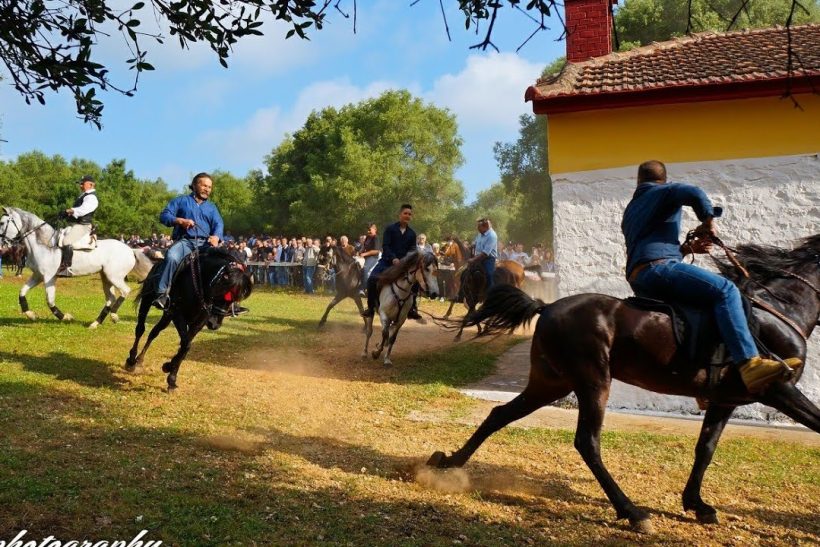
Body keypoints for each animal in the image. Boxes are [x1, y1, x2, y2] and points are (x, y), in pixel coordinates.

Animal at [0, 207, 155, 328]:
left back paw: (114, 316)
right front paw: (30, 315)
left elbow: (50, 301)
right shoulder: (38, 275)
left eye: (2, 222)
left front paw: (66, 317)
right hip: (105, 277)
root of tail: (130, 249)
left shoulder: (49, 277)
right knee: (111, 297)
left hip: (114, 276)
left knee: (124, 291)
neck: (45, 244)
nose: (2, 244)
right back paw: (95, 323)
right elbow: (22, 292)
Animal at [125, 246, 251, 392]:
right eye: (221, 288)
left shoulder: (198, 323)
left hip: (167, 316)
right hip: (147, 301)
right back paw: (131, 361)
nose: (214, 324)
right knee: (140, 329)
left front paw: (171, 374)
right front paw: (169, 370)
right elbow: (185, 345)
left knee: (154, 332)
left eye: (235, 298)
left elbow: (185, 348)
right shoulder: (178, 315)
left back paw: (140, 360)